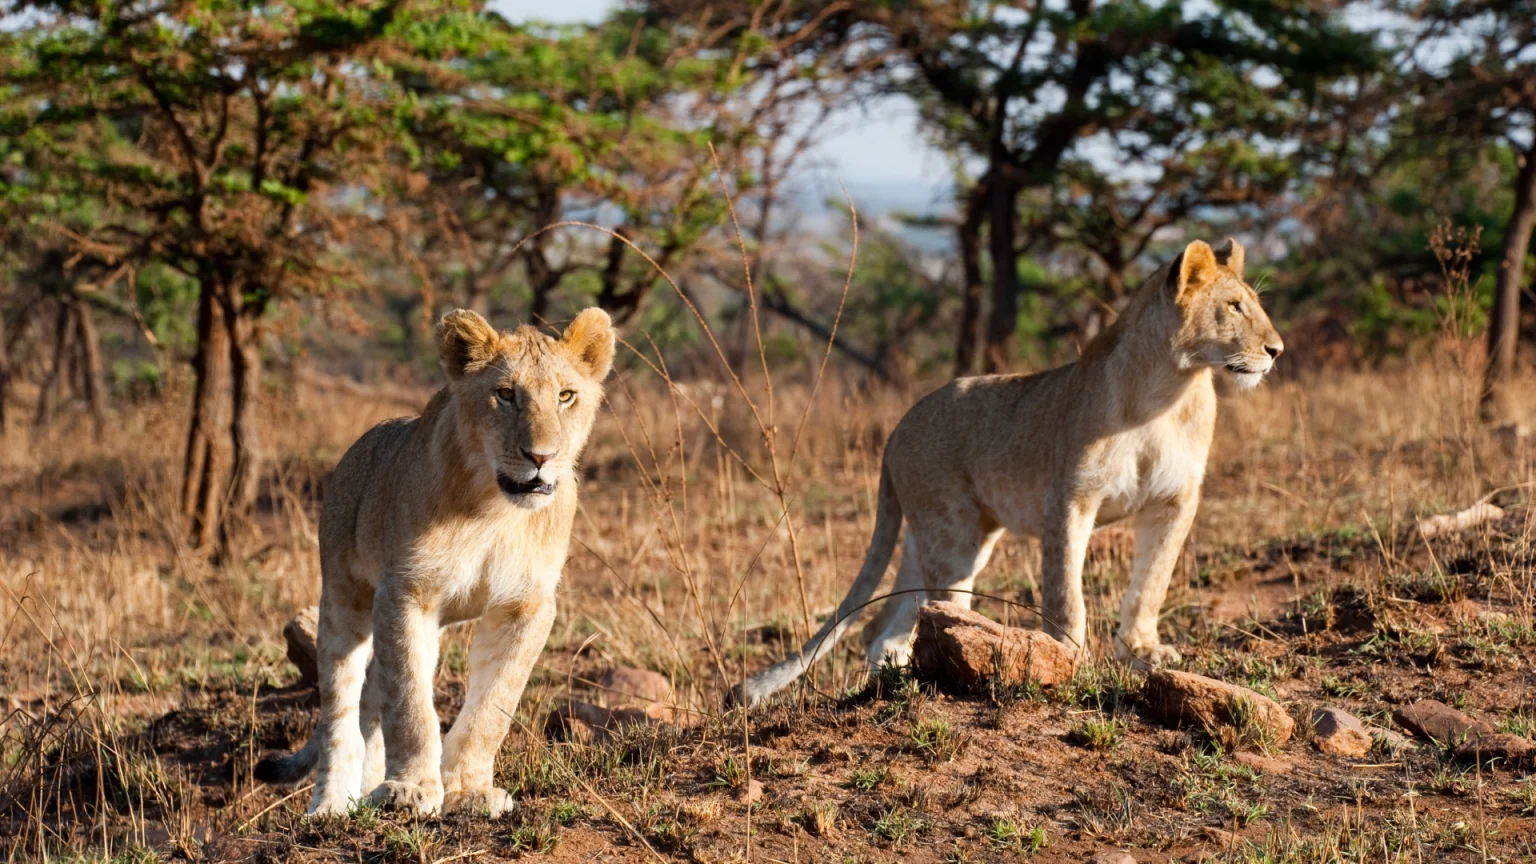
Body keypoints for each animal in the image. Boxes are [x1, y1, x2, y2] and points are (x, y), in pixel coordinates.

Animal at [256, 305, 611, 811]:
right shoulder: (404, 593)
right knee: (341, 710)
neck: (494, 508)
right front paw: (412, 789)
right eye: (505, 394)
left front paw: (467, 789)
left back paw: (367, 790)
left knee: (373, 701)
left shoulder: (524, 605)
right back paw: (331, 805)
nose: (541, 457)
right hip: (343, 599)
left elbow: (492, 705)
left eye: (566, 396)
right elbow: (409, 702)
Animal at [737, 238, 1277, 704]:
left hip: (935, 535)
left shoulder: (1174, 501)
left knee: (885, 624)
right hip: (952, 536)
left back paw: (893, 679)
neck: (1169, 388)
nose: (1277, 350)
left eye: (1254, 303)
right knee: (937, 610)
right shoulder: (1069, 498)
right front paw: (1066, 653)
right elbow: (1065, 591)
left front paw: (1143, 650)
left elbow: (1153, 581)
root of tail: (896, 430)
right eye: (1234, 306)